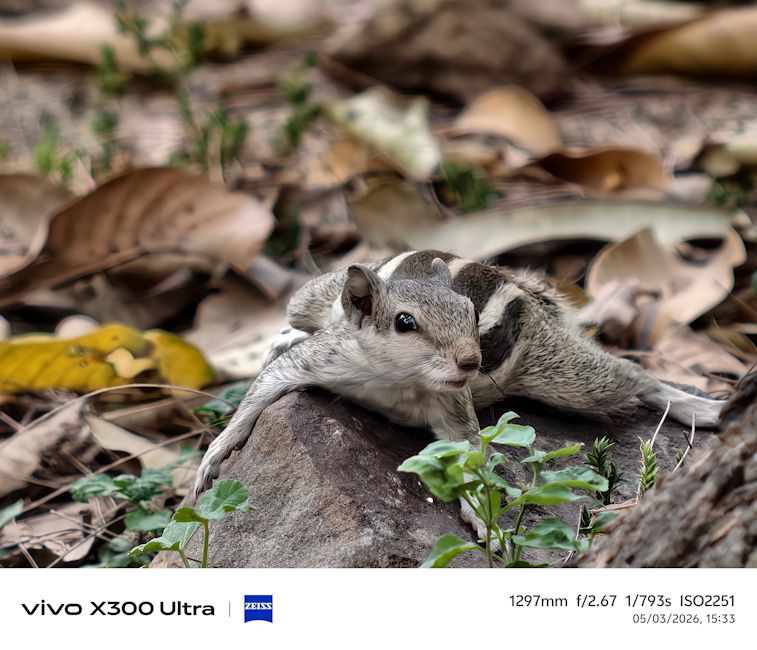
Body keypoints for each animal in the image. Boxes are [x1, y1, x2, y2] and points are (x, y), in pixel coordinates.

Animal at [193, 250, 724, 527]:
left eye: (470, 314)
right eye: (404, 323)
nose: (472, 361)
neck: (393, 379)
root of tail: (520, 288)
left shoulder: (453, 404)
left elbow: (470, 453)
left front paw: (480, 513)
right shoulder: (324, 358)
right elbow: (266, 386)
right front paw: (214, 455)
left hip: (567, 378)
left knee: (631, 376)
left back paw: (699, 406)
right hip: (307, 299)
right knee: (296, 320)